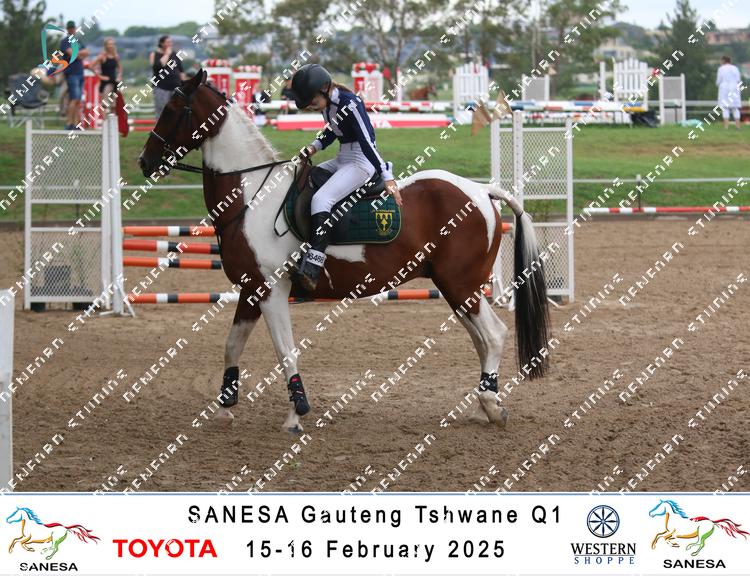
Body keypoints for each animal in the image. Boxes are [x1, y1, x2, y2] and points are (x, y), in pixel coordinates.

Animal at [137, 68, 550, 434]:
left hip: (462, 286)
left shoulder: (272, 291)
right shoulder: (251, 291)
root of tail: (481, 191)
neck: (252, 194)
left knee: (493, 335)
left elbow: (285, 352)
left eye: (174, 109)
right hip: (455, 289)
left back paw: (491, 405)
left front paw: (296, 414)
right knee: (480, 339)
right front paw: (225, 407)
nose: (145, 162)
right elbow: (231, 346)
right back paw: (486, 404)